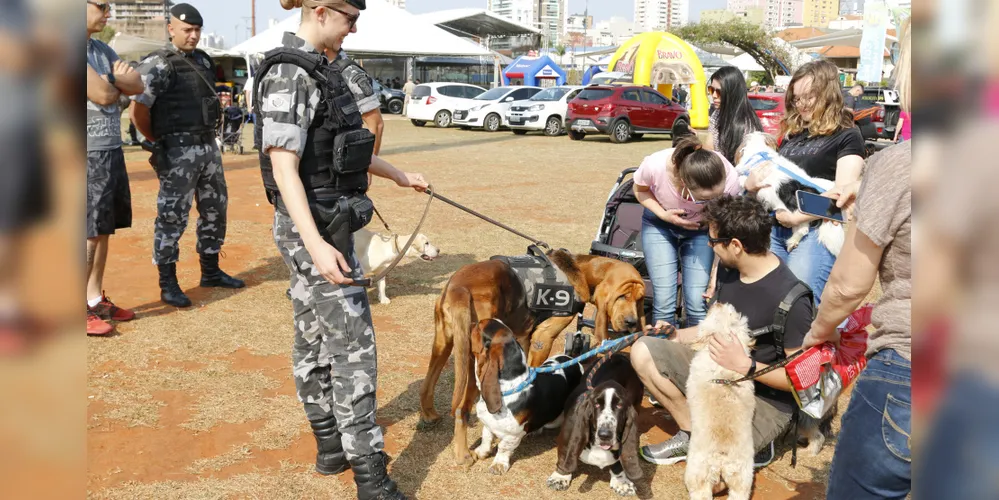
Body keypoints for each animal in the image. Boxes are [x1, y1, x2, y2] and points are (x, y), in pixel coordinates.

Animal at [416, 252, 644, 466]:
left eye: (640, 299)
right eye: (622, 296)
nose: (632, 323)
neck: (579, 269)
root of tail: (458, 287)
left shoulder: (523, 338)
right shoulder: (543, 338)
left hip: (443, 344)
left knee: (427, 385)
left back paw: (429, 415)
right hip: (474, 363)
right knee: (461, 410)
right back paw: (463, 454)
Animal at [688, 300, 756, 500]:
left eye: (729, 312)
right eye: (734, 313)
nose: (717, 301)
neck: (724, 370)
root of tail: (721, 458)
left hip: (697, 474)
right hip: (742, 479)